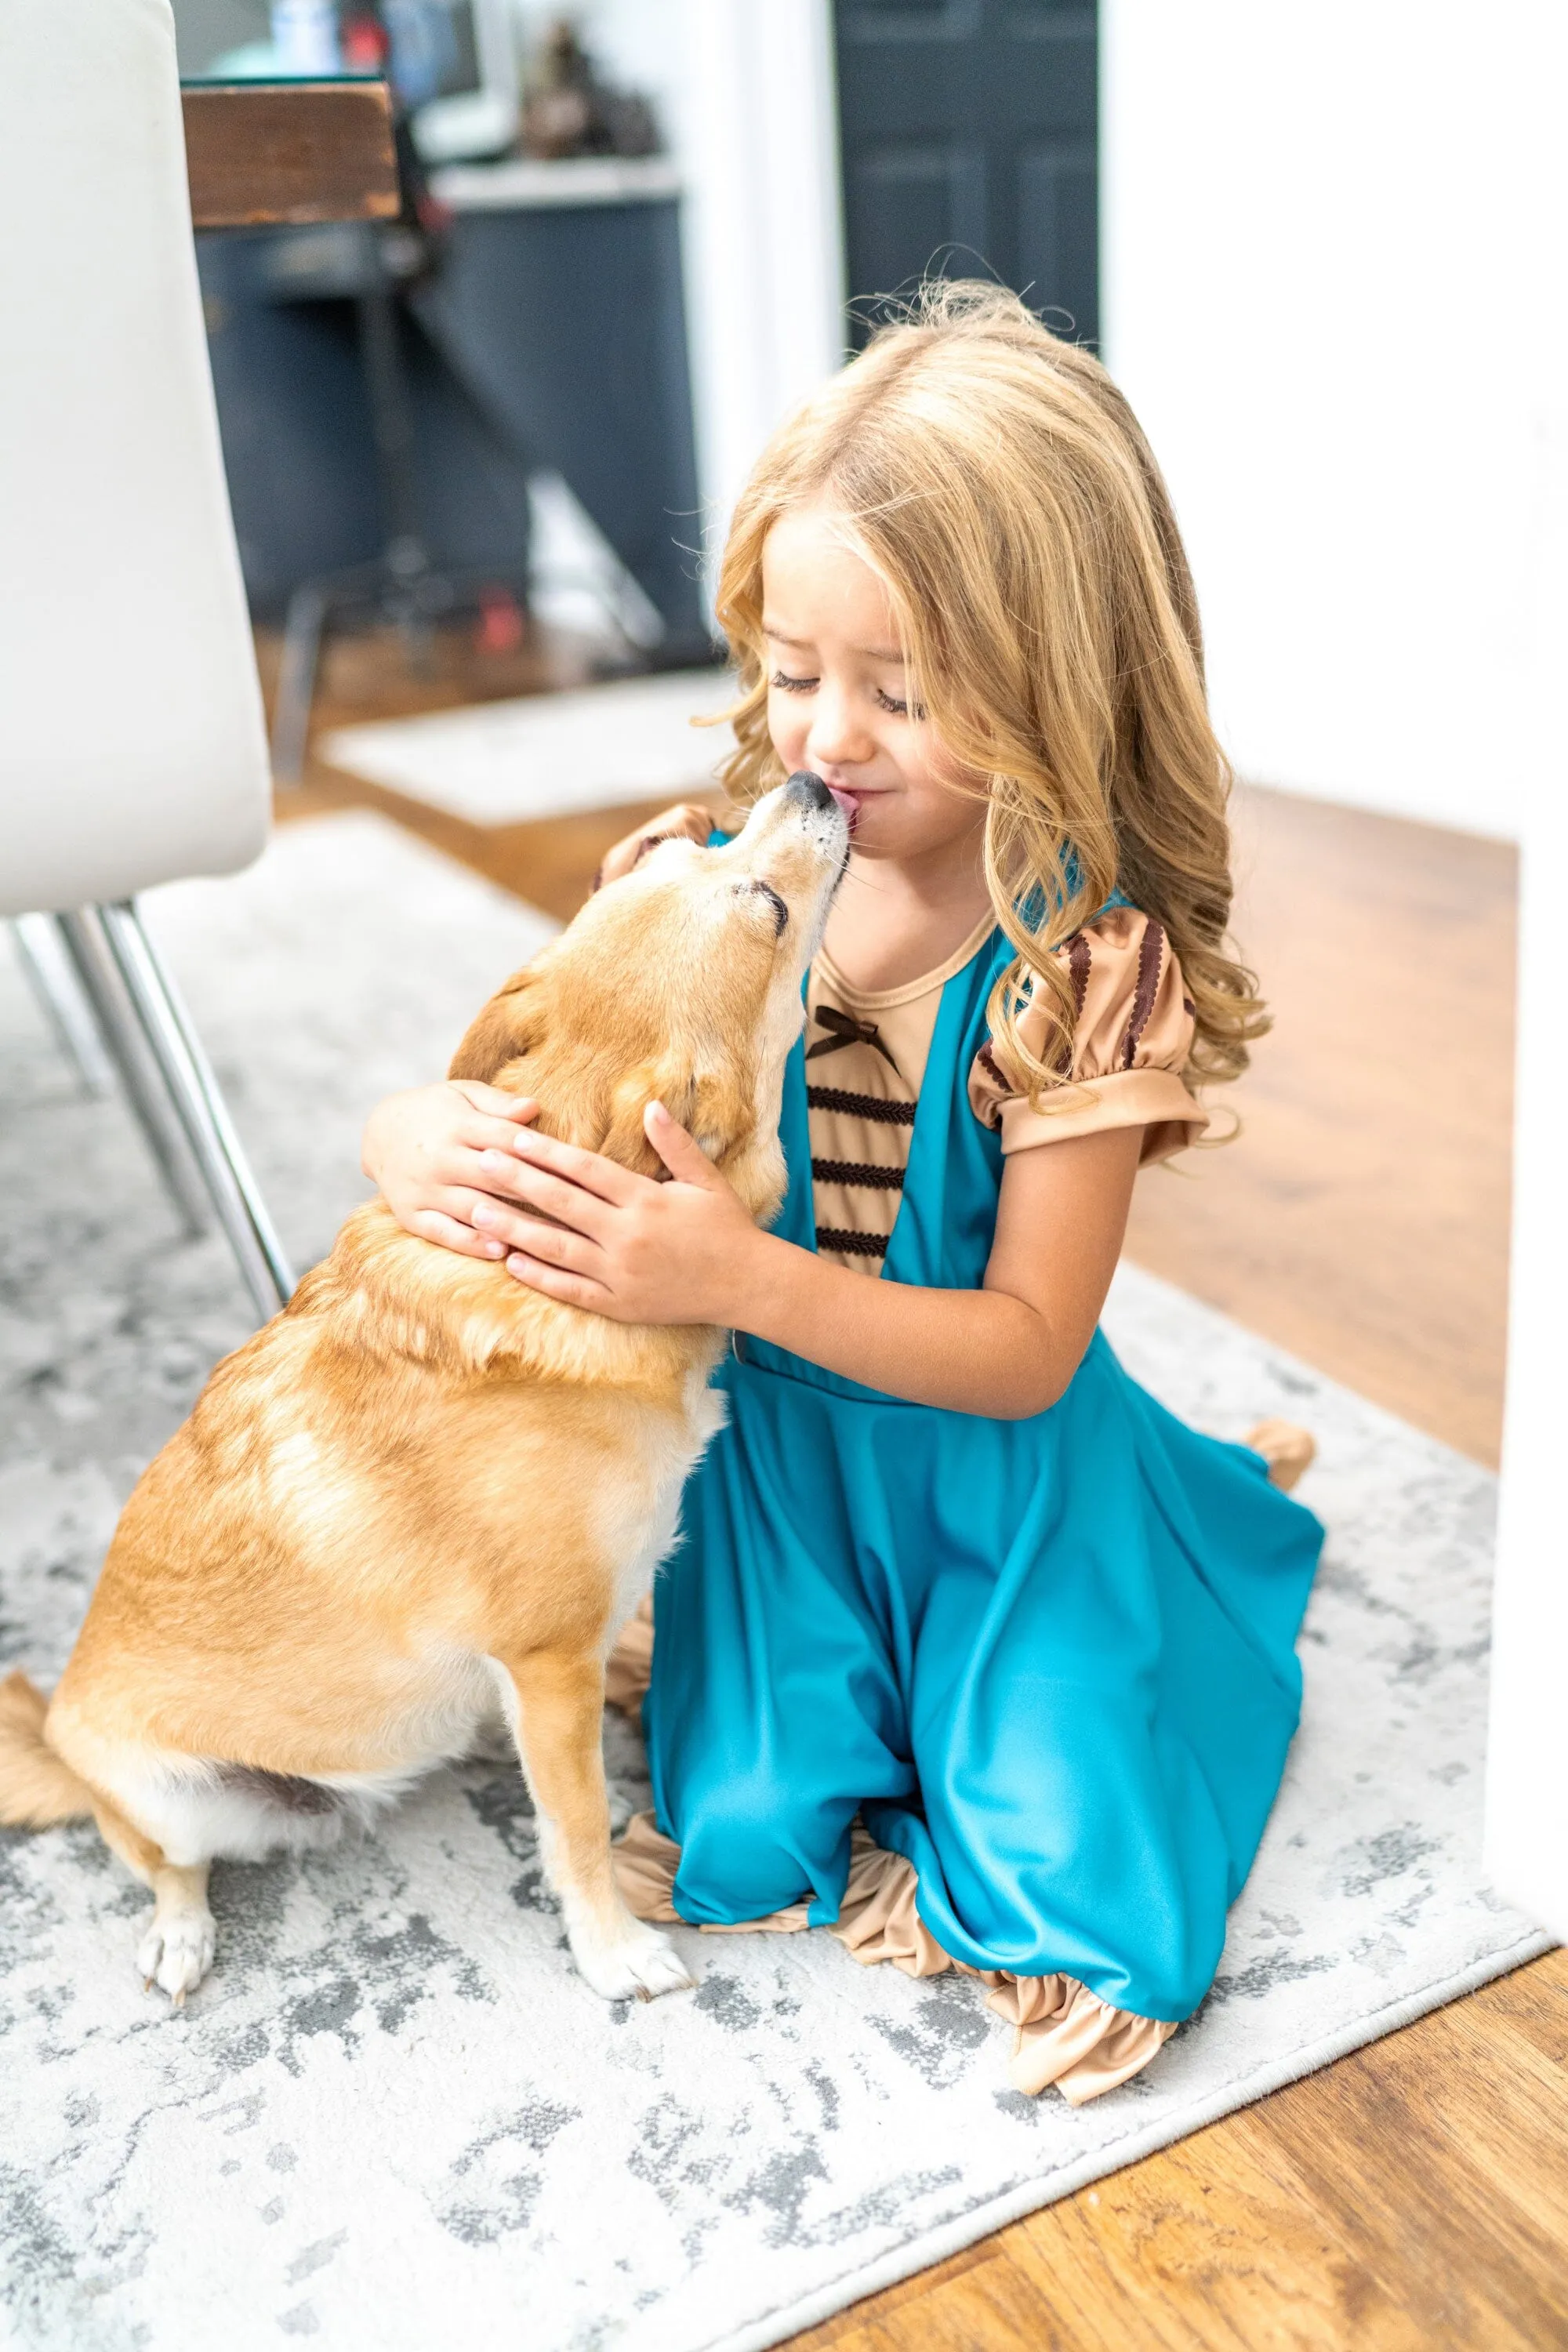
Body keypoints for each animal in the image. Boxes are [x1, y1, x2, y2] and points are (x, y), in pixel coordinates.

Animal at [0, 771, 851, 2004]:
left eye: (687, 853)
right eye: (768, 909)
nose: (810, 780)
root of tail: (59, 1730)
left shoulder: (556, 1665)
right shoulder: (549, 1657)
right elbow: (577, 1829)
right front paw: (613, 1953)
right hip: (174, 1802)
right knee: (167, 1867)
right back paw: (179, 1934)